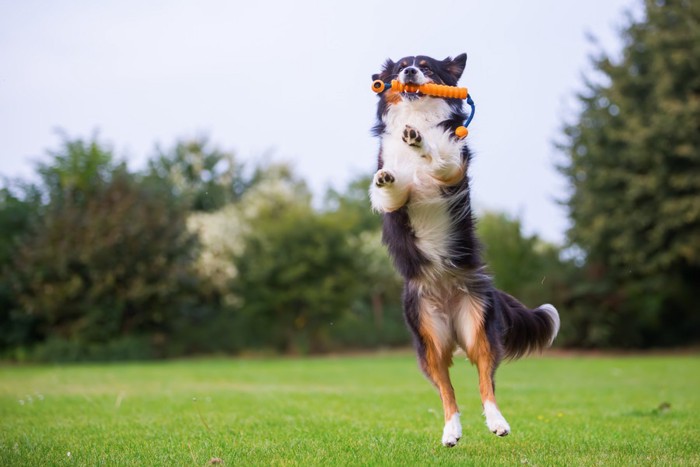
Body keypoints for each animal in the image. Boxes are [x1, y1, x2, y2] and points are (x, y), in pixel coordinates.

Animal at [370, 54, 560, 450]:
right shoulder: (393, 203)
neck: (419, 116)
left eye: (426, 65)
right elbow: (389, 189)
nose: (410, 72)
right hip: (429, 342)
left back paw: (497, 423)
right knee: (447, 391)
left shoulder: (454, 169)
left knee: (485, 381)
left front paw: (420, 142)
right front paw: (388, 175)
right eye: (400, 66)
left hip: (478, 329)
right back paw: (451, 431)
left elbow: (441, 157)